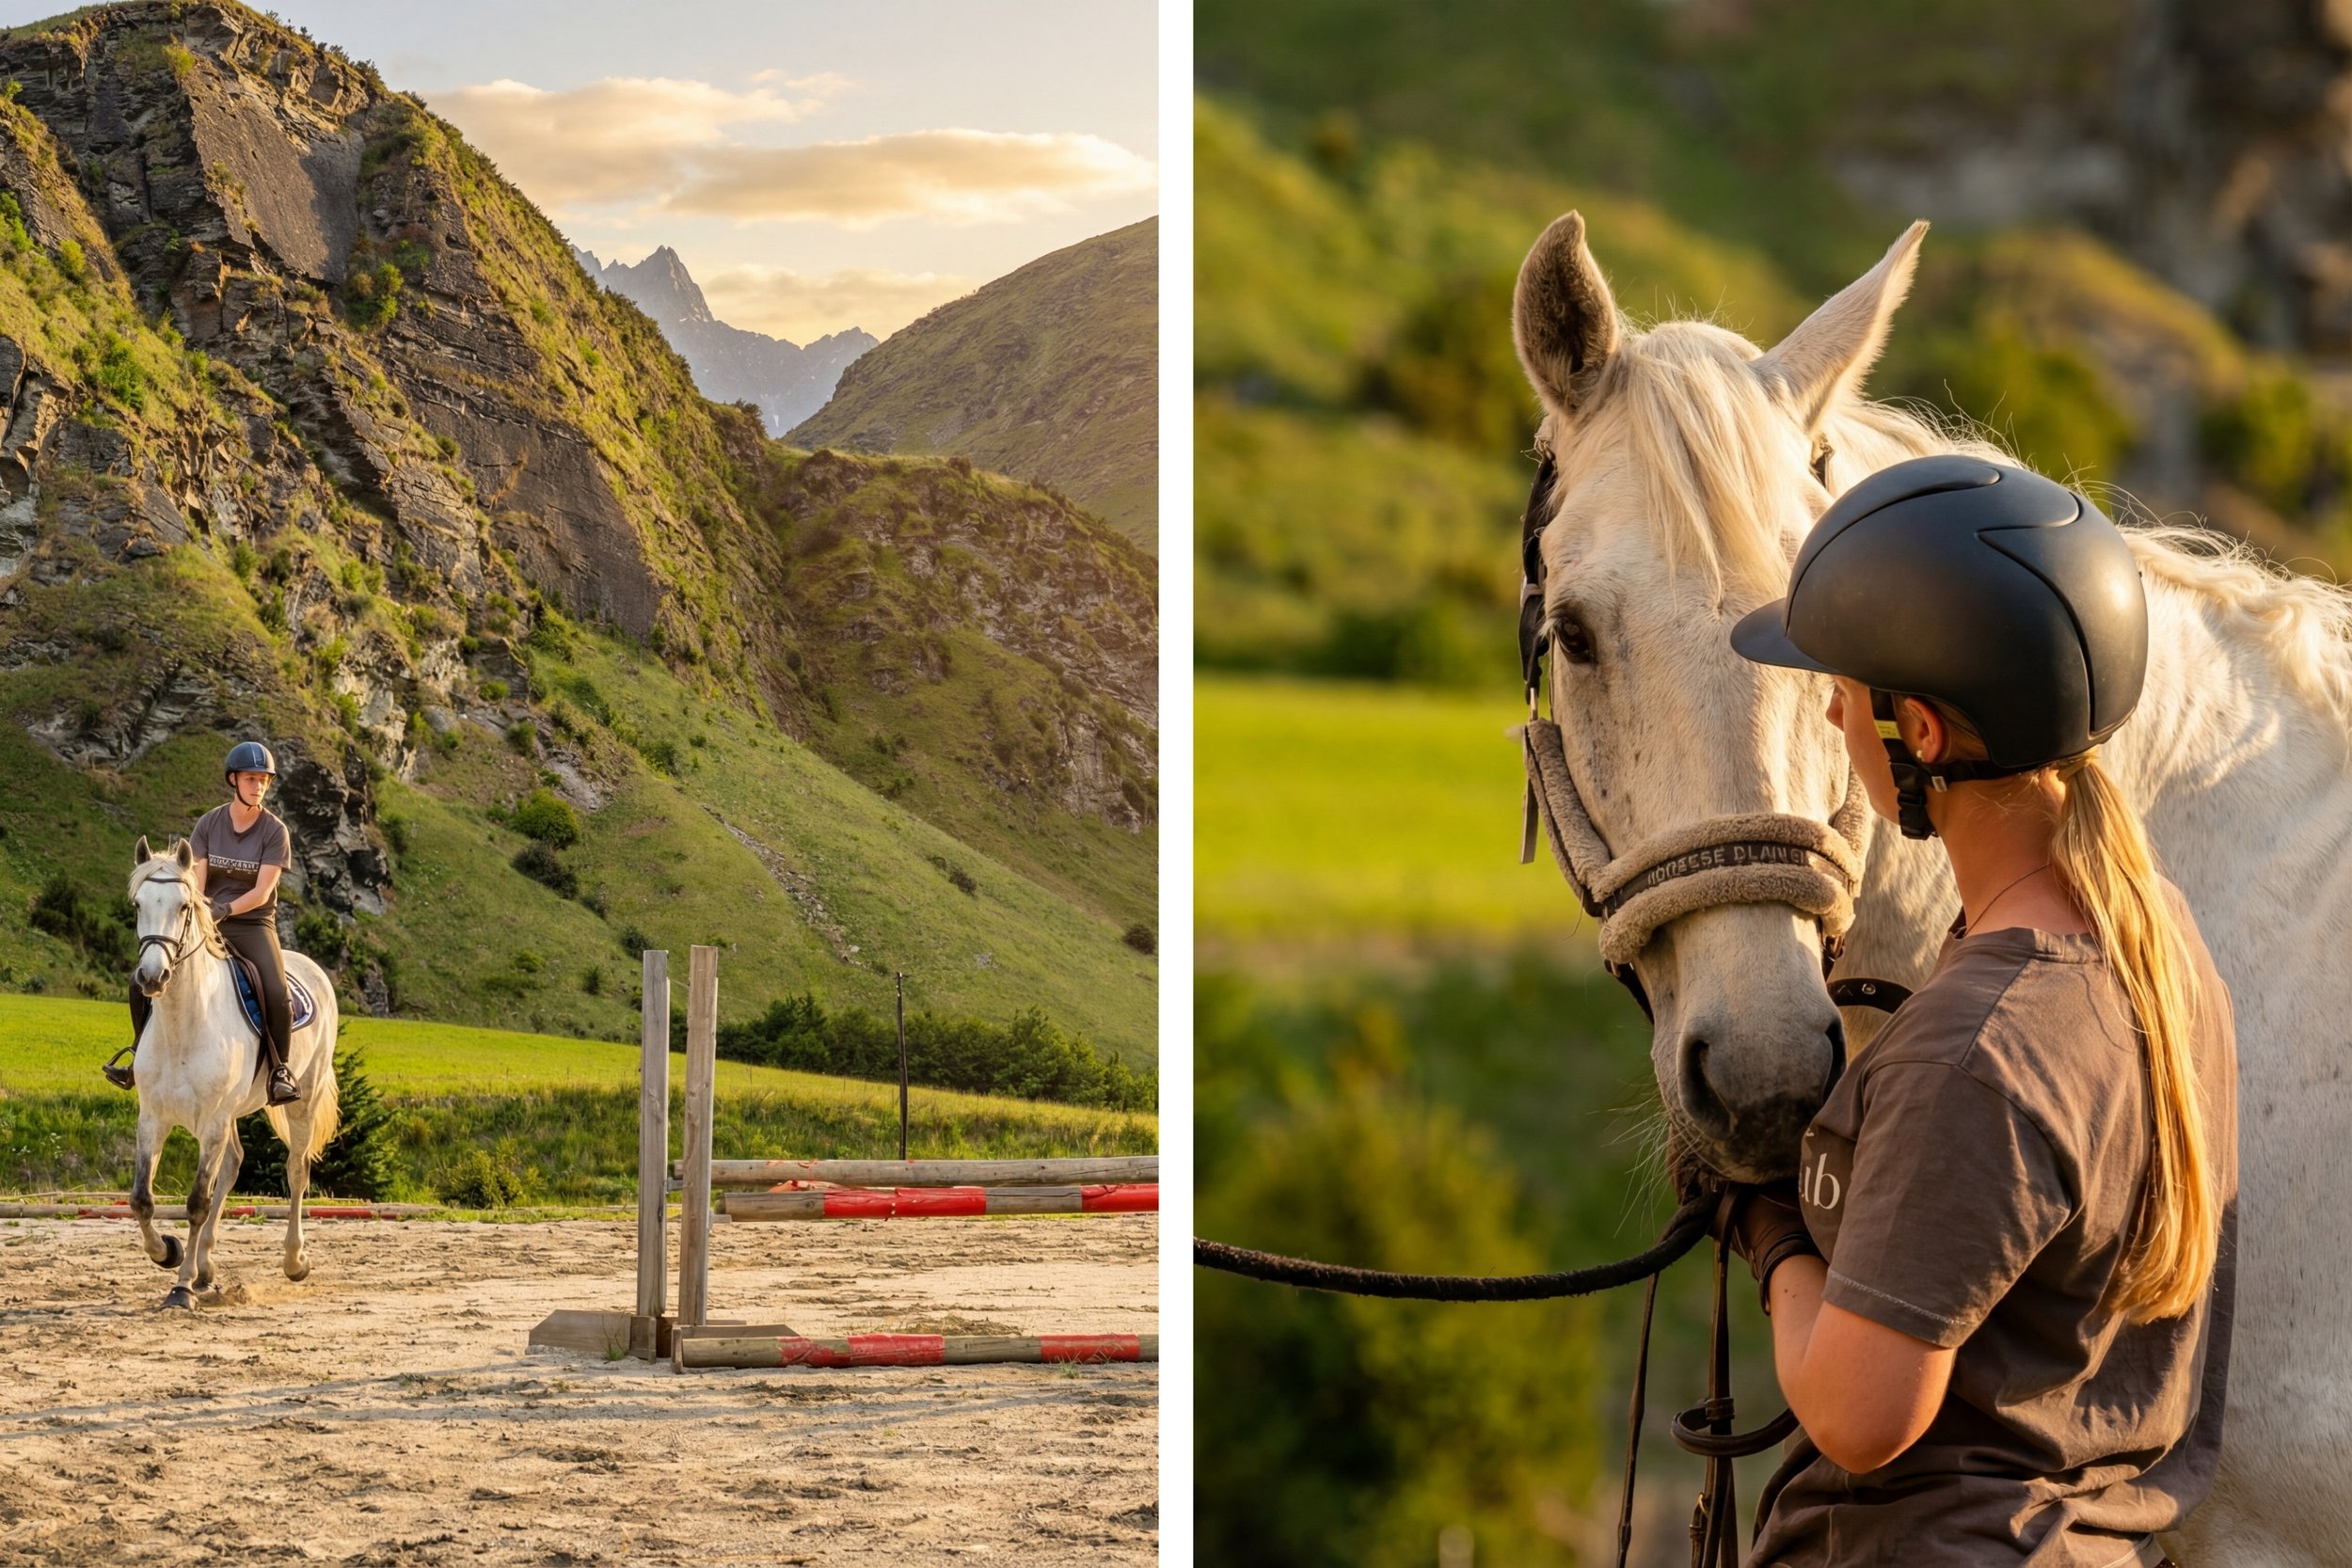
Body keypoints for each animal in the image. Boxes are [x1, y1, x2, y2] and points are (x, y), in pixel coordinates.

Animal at [125, 836, 341, 1309]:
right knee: (233, 1164)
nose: (152, 977)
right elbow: (142, 1200)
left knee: (297, 1170)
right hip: (229, 1116)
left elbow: (196, 1202)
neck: (183, 1026)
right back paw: (207, 1268)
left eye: (184, 907)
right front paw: (168, 1252)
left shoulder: (213, 1122)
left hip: (301, 1099)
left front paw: (181, 1287)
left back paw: (294, 1261)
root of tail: (313, 968)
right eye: (137, 905)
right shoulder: (153, 1118)